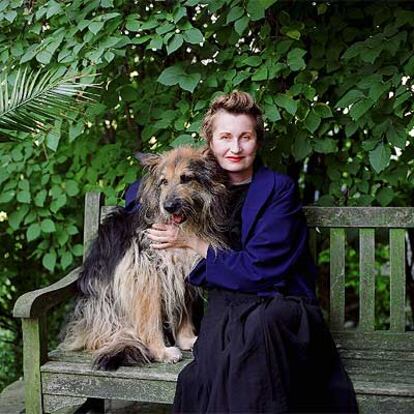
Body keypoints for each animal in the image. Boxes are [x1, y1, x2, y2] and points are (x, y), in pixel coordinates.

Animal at [61, 147, 230, 370]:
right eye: (163, 181)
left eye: (186, 178)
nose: (169, 206)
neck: (183, 227)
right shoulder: (145, 277)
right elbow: (151, 320)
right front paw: (161, 351)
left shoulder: (179, 272)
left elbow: (183, 311)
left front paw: (186, 339)